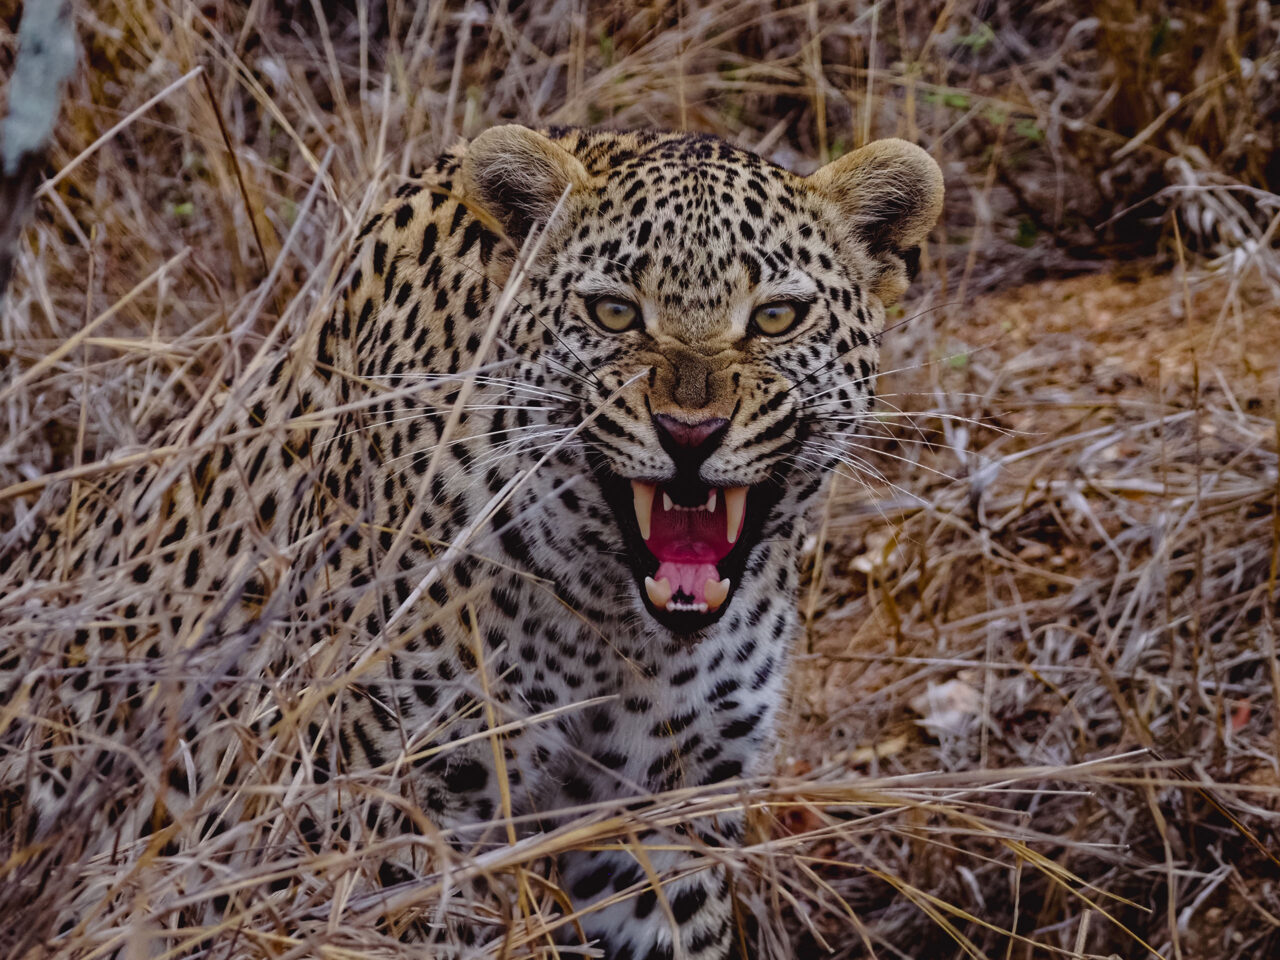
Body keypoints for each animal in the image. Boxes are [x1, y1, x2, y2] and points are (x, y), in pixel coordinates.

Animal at [0, 125, 942, 959]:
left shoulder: (666, 811)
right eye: (613, 312)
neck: (616, 626)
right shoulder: (388, 802)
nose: (689, 433)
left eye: (777, 317)